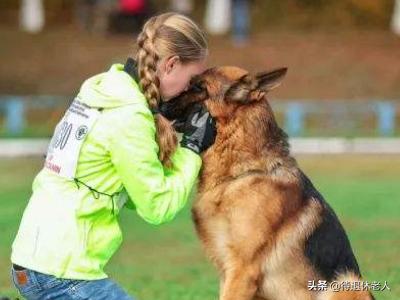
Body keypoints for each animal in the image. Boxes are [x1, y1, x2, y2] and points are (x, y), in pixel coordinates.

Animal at [161, 66, 374, 300]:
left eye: (199, 87)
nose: (160, 105)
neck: (241, 175)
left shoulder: (242, 270)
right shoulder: (228, 273)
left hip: (347, 282)